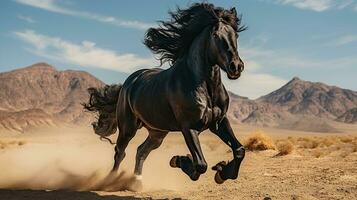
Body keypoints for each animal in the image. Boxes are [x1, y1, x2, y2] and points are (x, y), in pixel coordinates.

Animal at [84, 3, 245, 189]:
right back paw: (111, 180)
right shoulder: (188, 127)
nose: (236, 66)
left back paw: (137, 182)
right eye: (215, 34)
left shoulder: (219, 123)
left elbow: (239, 150)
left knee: (141, 151)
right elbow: (200, 165)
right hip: (128, 128)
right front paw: (179, 160)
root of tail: (129, 82)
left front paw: (222, 172)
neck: (204, 88)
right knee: (120, 153)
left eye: (236, 35)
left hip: (157, 132)